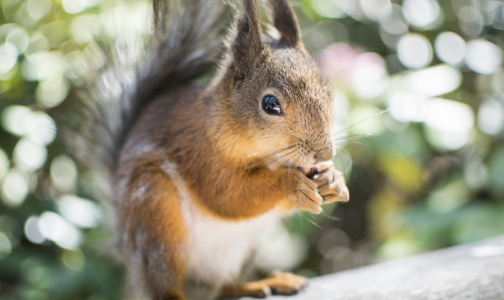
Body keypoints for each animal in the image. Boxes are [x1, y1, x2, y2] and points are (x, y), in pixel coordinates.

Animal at [59, 0, 348, 298]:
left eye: (328, 90)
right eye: (270, 104)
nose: (325, 154)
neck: (271, 156)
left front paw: (335, 180)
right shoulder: (202, 155)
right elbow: (227, 196)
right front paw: (290, 182)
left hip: (242, 252)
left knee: (225, 288)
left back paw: (265, 282)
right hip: (156, 216)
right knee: (163, 287)